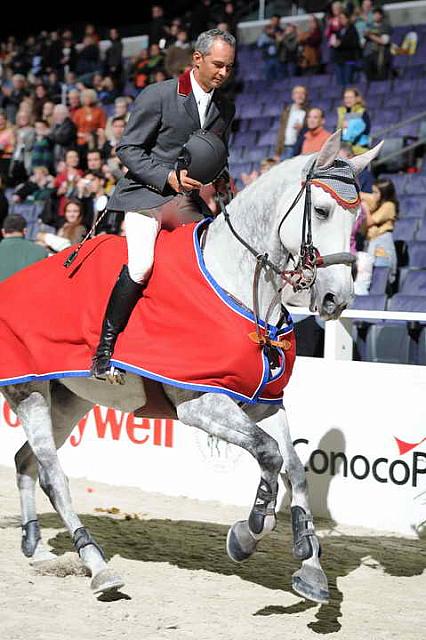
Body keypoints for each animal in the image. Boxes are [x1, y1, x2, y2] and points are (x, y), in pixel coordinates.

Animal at [1, 132, 382, 604]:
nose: (337, 300)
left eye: (358, 217)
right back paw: (98, 567)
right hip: (30, 392)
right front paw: (249, 532)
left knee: (26, 461)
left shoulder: (264, 403)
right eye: (323, 210)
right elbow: (269, 455)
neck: (241, 286)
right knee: (53, 475)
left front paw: (310, 567)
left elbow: (295, 467)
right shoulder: (201, 403)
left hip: (69, 401)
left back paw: (35, 545)